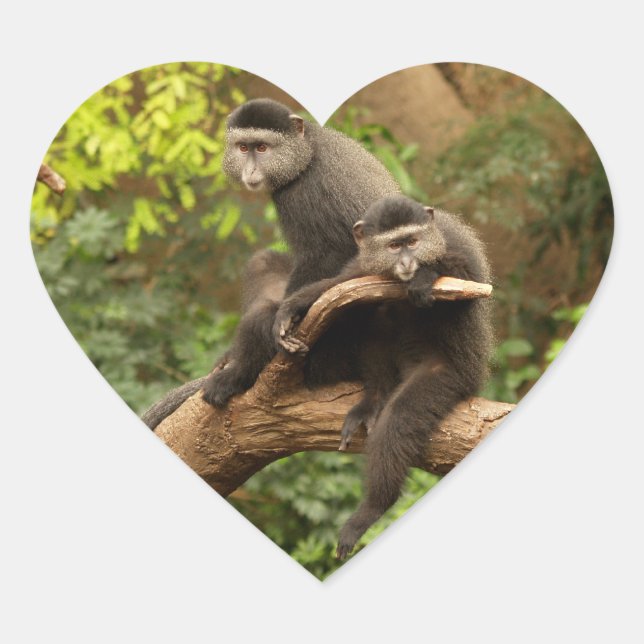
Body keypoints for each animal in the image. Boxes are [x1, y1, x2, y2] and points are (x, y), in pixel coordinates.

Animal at [272, 195, 493, 559]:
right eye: (393, 246)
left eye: (412, 242)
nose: (406, 262)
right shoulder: (365, 264)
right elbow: (341, 285)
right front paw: (292, 307)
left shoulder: (453, 246)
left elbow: (468, 283)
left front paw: (424, 277)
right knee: (371, 312)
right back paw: (374, 399)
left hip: (450, 376)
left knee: (399, 420)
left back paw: (372, 508)